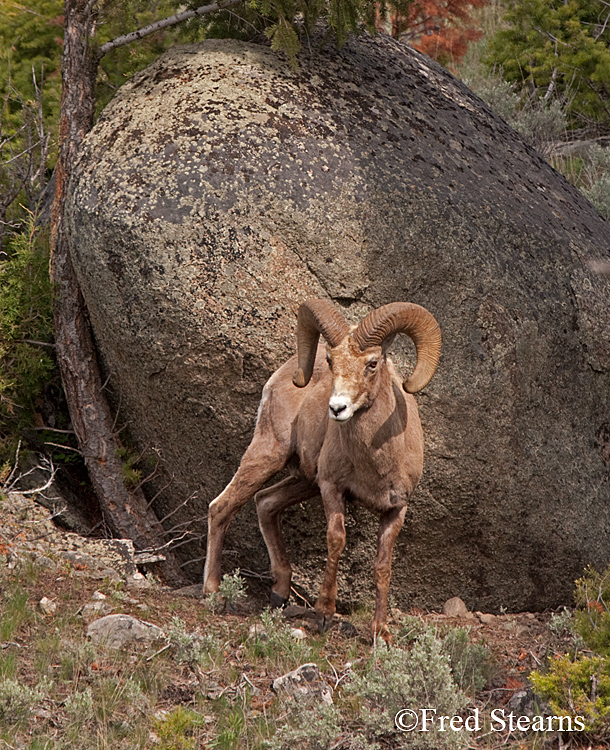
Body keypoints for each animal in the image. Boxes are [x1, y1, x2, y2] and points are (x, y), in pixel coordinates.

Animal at [202, 300, 440, 640]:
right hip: (268, 455)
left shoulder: (396, 508)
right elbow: (336, 540)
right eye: (330, 360)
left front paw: (381, 632)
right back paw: (213, 592)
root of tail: (279, 377)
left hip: (303, 481)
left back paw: (279, 593)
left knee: (265, 503)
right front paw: (324, 614)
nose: (337, 408)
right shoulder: (332, 488)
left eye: (373, 363)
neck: (376, 460)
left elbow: (383, 565)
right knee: (222, 506)